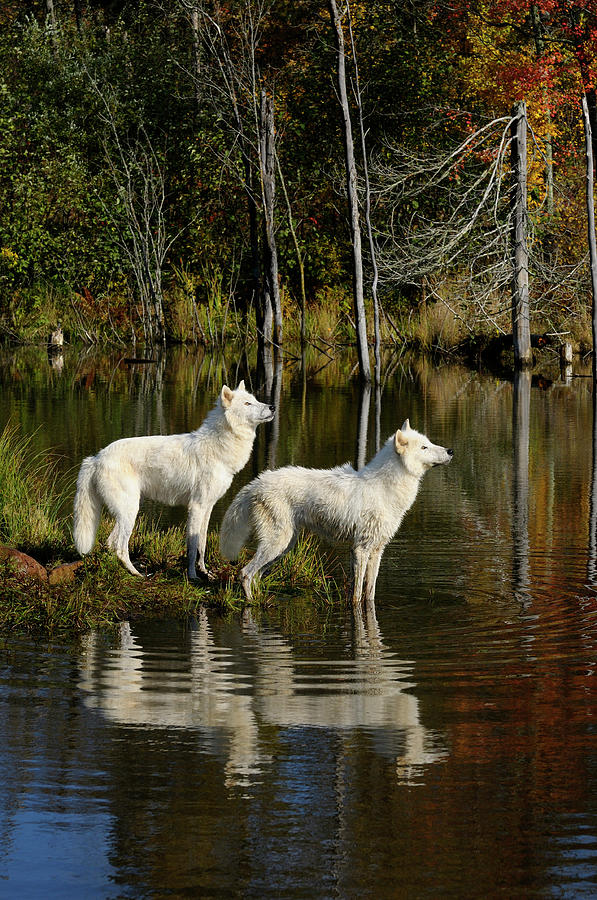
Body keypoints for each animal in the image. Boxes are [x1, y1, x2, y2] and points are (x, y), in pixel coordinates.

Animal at [73, 378, 274, 576]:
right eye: (247, 404)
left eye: (255, 400)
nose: (272, 407)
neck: (218, 447)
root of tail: (96, 458)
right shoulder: (196, 507)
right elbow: (192, 547)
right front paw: (192, 576)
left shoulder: (208, 507)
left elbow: (202, 543)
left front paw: (205, 572)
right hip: (130, 511)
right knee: (120, 547)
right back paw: (137, 573)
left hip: (127, 512)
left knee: (110, 543)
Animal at [220, 420, 452, 604]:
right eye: (424, 447)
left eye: (429, 442)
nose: (451, 451)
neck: (384, 488)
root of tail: (256, 483)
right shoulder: (360, 549)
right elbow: (357, 595)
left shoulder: (377, 550)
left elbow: (370, 593)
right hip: (277, 544)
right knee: (245, 573)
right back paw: (252, 604)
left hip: (284, 546)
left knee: (256, 575)